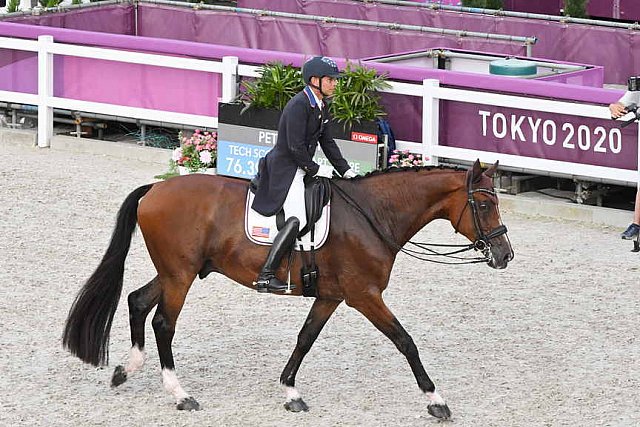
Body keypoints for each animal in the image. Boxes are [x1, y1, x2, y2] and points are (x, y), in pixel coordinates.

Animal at [63, 159, 516, 420]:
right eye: (484, 204)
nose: (505, 254)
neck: (373, 215)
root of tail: (155, 189)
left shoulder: (332, 296)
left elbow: (305, 339)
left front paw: (290, 391)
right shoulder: (365, 295)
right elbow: (405, 341)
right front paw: (436, 400)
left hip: (180, 271)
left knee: (137, 301)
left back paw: (126, 370)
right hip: (180, 275)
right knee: (163, 323)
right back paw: (180, 394)